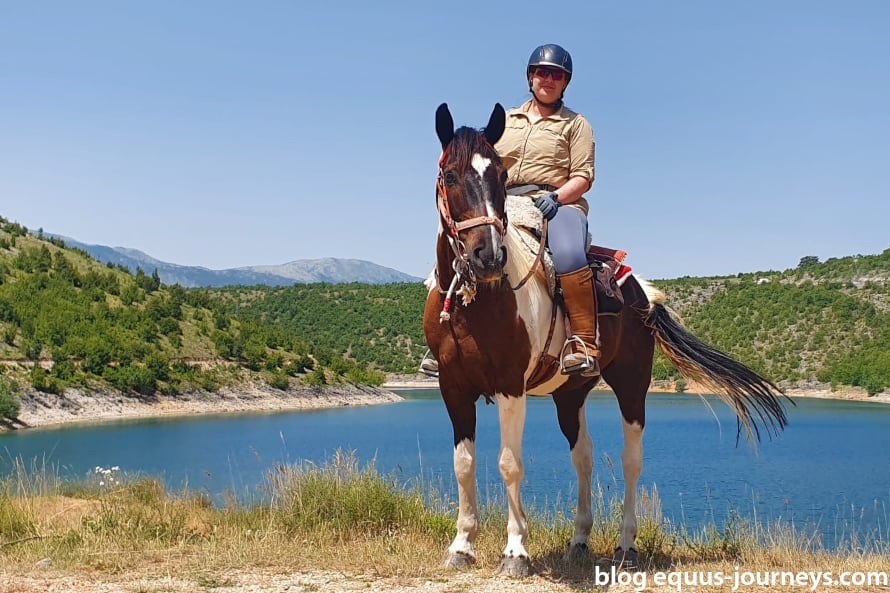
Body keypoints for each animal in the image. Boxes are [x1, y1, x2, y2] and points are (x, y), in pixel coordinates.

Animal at [424, 104, 792, 576]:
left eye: (501, 177)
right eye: (450, 175)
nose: (488, 256)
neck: (479, 299)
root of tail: (642, 292)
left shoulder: (510, 387)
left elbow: (510, 464)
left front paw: (516, 552)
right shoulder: (452, 385)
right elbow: (463, 464)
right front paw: (462, 546)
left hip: (632, 384)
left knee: (630, 459)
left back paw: (626, 545)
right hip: (571, 393)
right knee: (583, 455)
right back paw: (580, 540)